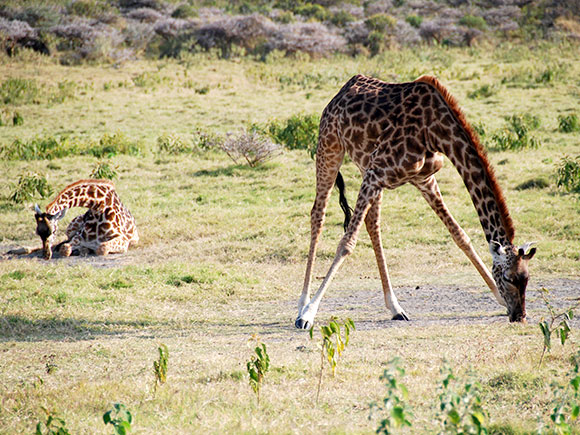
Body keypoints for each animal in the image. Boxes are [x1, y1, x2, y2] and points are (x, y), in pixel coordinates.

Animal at [296, 75, 536, 328]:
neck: (435, 132)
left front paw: (498, 297)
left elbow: (460, 235)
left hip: (364, 166)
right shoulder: (376, 173)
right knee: (318, 214)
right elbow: (346, 243)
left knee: (373, 224)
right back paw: (303, 303)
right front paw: (308, 313)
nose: (519, 316)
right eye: (508, 278)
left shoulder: (423, 179)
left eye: (527, 279)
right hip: (330, 147)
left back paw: (395, 307)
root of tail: (342, 91)